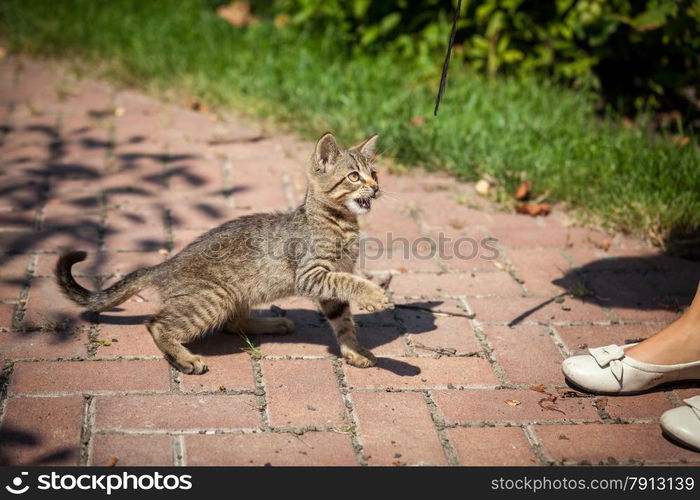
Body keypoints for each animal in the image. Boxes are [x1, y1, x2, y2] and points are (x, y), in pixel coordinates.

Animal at [55, 135, 392, 374]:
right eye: (354, 176)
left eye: (374, 173)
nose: (376, 188)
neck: (342, 225)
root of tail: (167, 264)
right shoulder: (312, 274)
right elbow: (350, 283)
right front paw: (375, 295)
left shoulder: (330, 283)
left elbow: (343, 321)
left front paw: (353, 351)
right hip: (214, 299)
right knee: (157, 323)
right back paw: (185, 359)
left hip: (236, 295)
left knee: (233, 323)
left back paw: (272, 324)